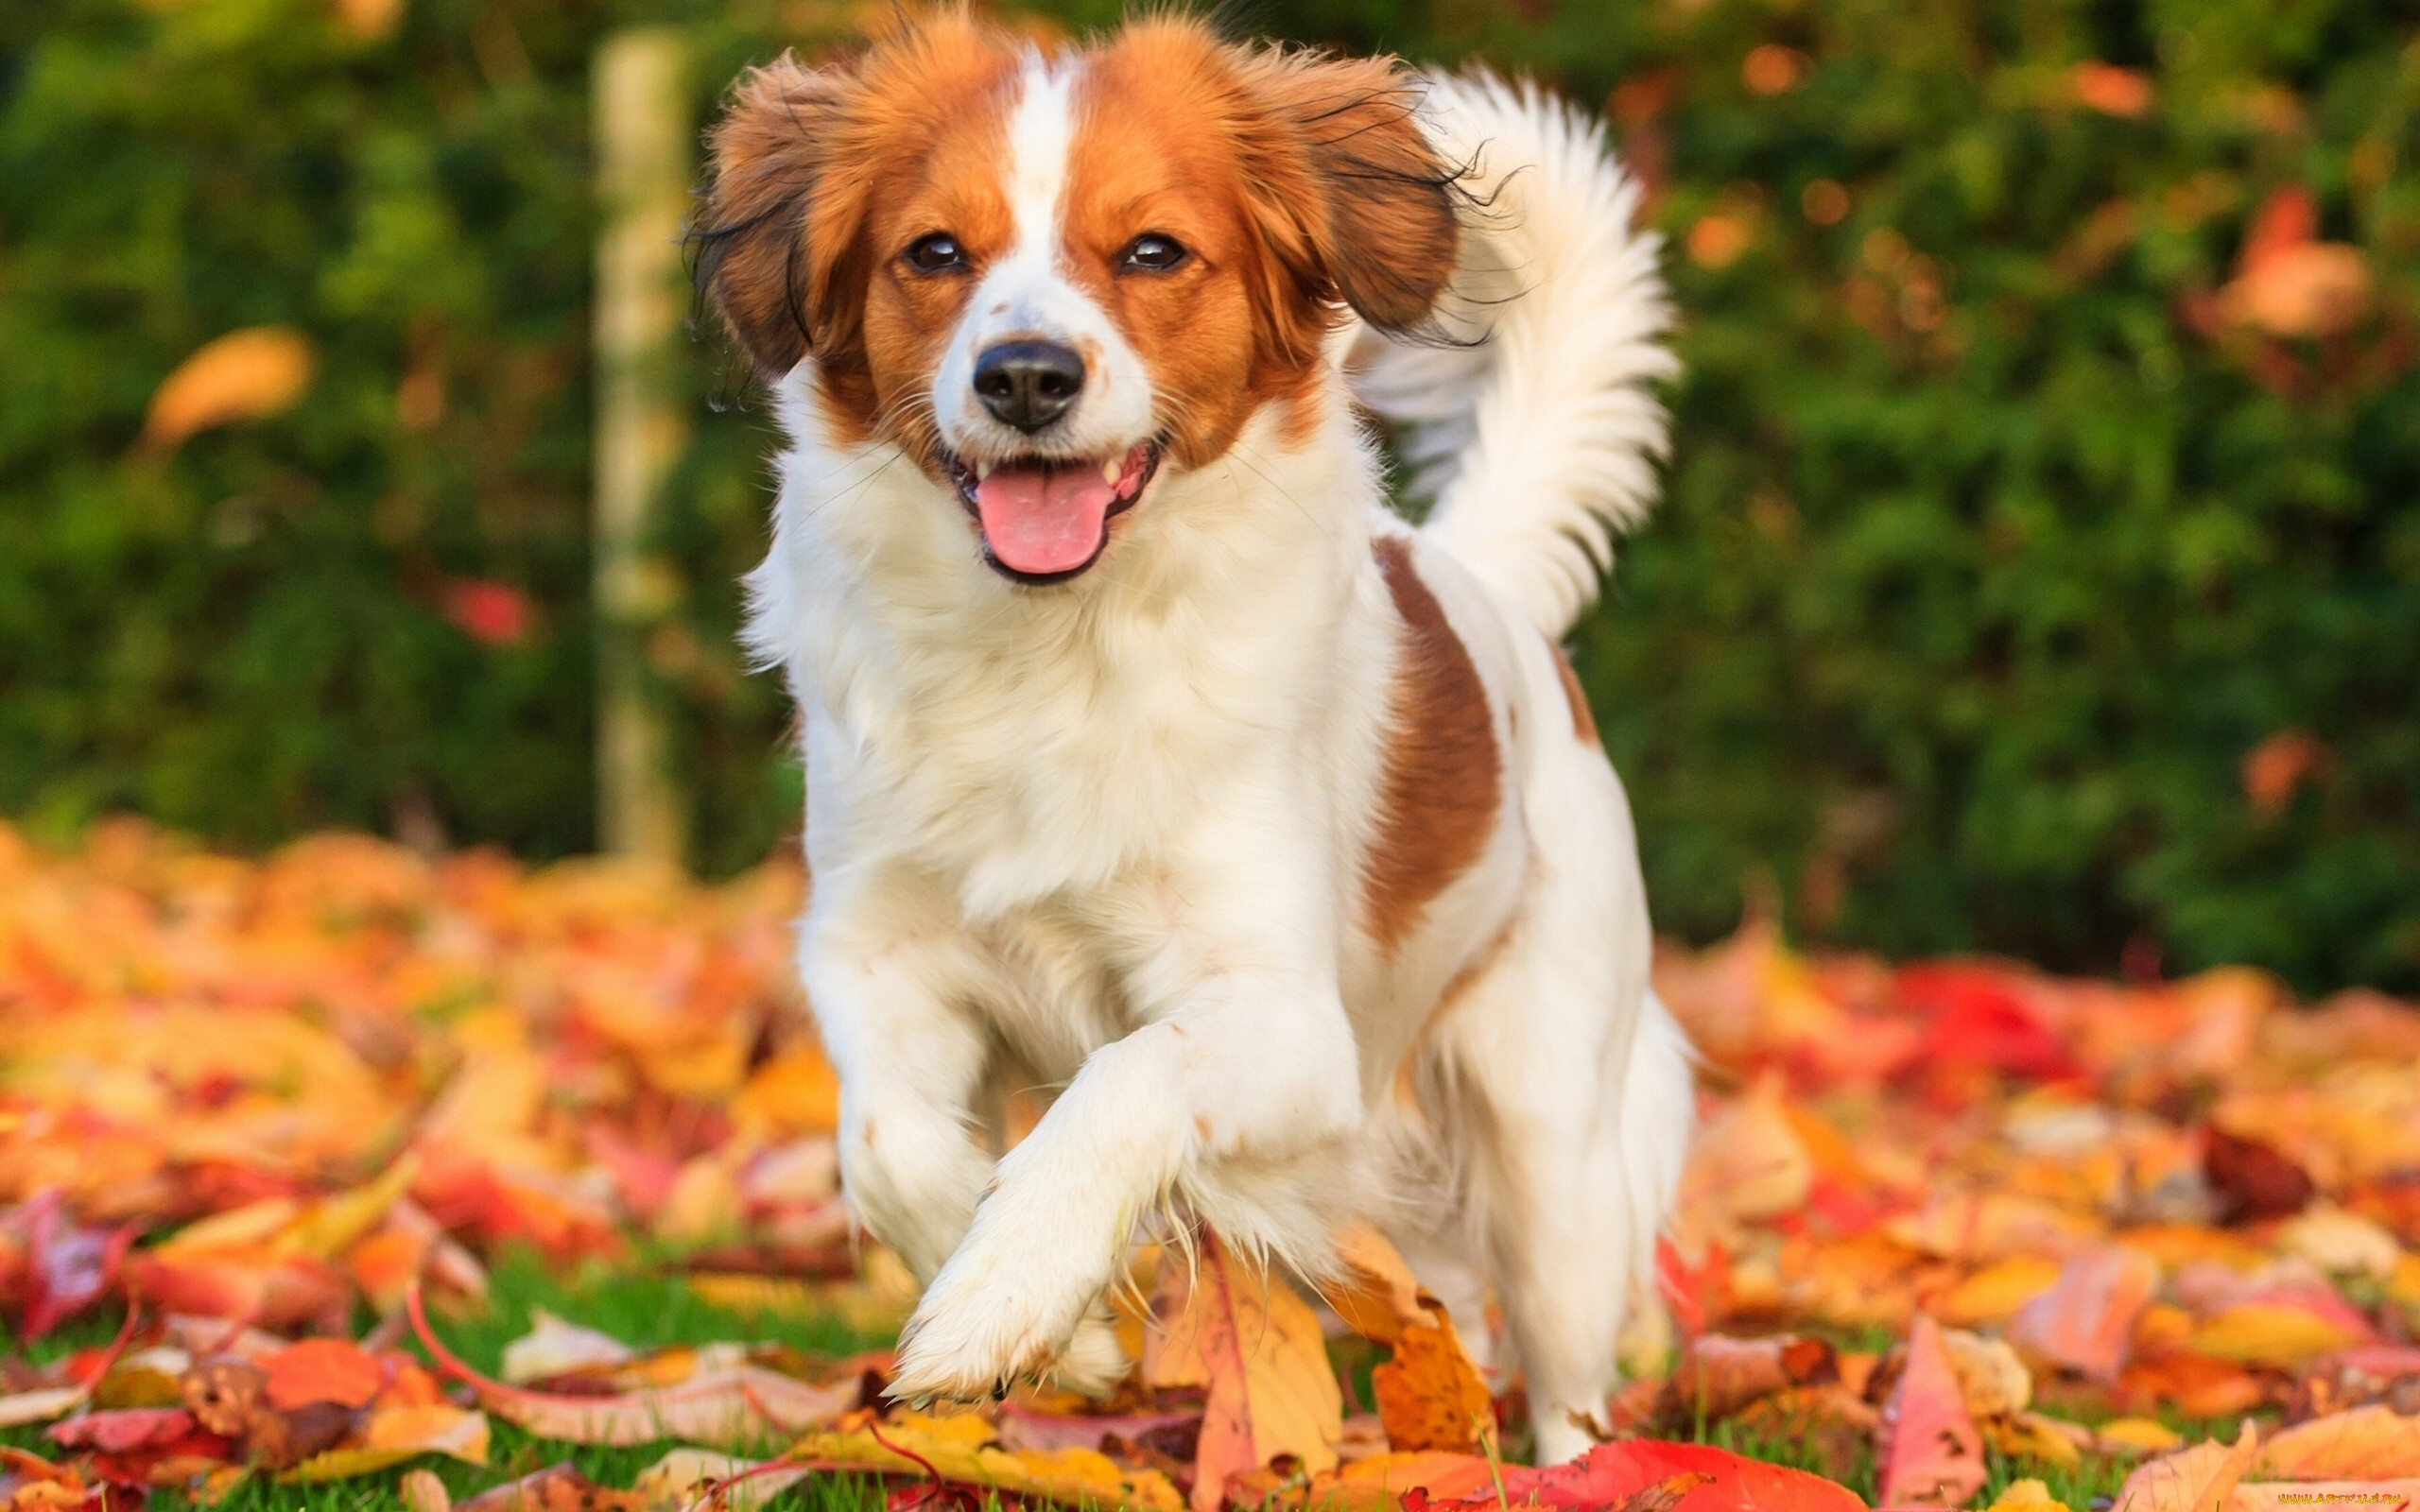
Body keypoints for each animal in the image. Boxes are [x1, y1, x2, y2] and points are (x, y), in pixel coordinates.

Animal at [692, 11, 1694, 1461]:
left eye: (1153, 252)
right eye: (934, 252)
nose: (1026, 377)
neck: (1055, 646)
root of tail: (1486, 584)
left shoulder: (1288, 1022)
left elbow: (1130, 1074)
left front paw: (1006, 1290)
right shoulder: (876, 949)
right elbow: (884, 1143)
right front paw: (1065, 1334)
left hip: (1550, 1139)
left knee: (1569, 1372)